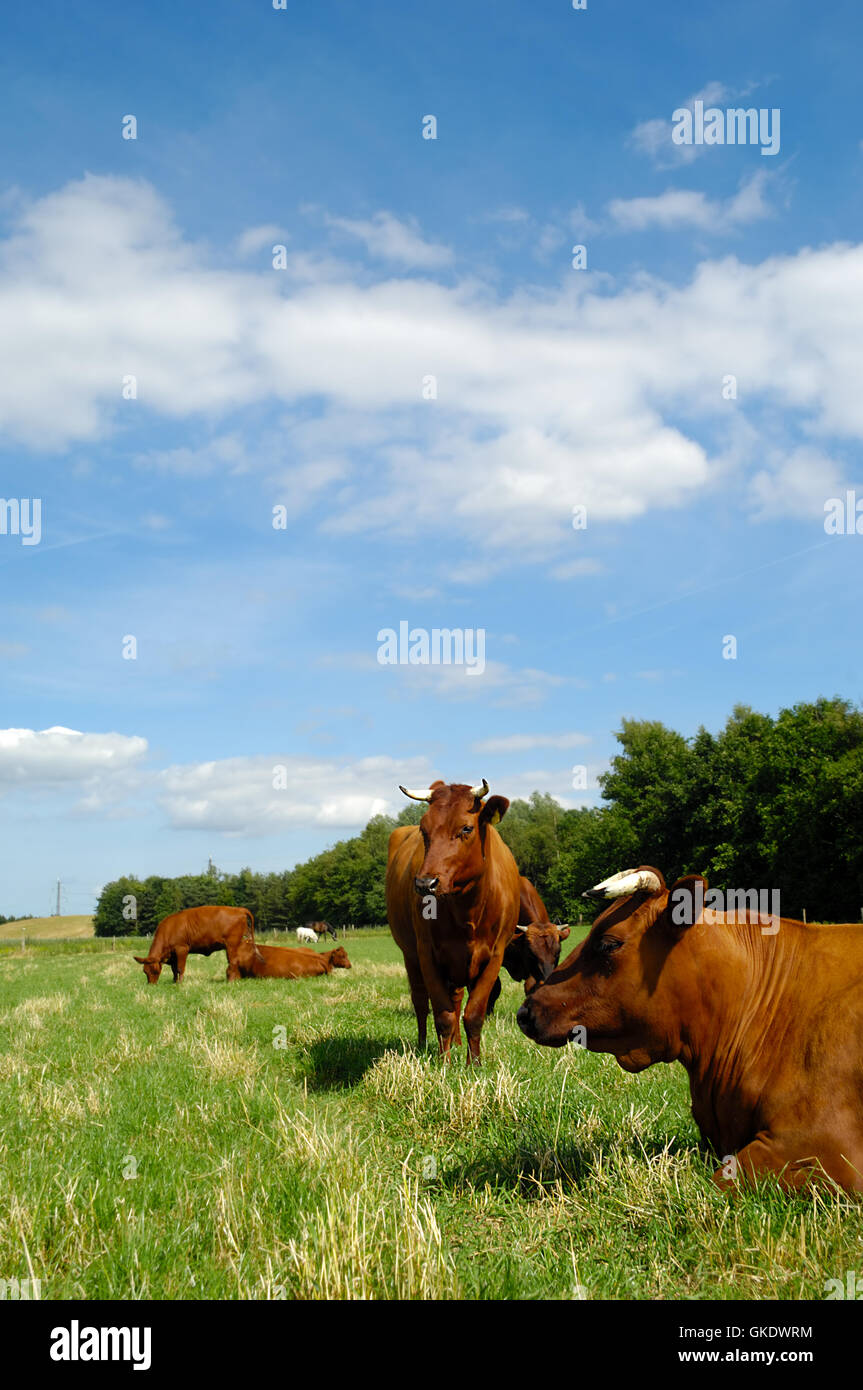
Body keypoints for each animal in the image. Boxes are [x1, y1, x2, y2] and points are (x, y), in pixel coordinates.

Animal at [386, 778, 521, 1064]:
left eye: (466, 828)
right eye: (424, 830)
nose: (425, 883)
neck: (466, 909)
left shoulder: (494, 956)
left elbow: (474, 1013)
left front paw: (474, 1063)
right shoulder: (427, 954)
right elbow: (443, 1014)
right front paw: (444, 1063)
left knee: (456, 998)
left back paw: (457, 1044)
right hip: (410, 956)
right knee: (420, 1002)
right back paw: (423, 1044)